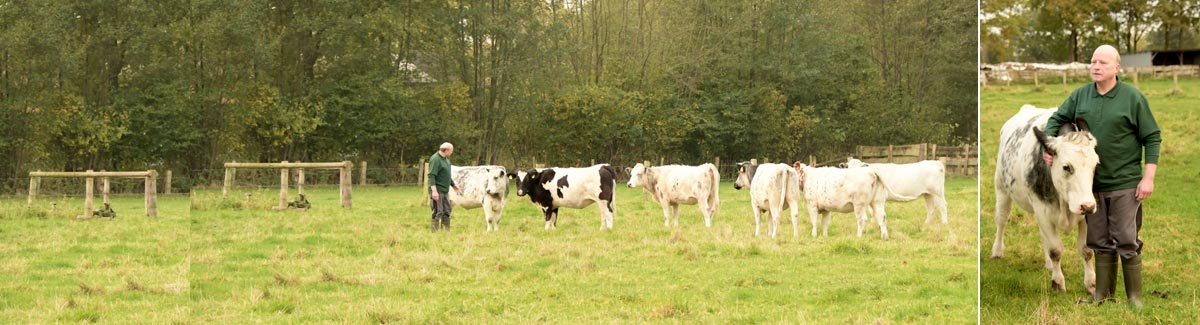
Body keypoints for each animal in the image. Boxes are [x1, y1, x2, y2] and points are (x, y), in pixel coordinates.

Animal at [988, 104, 1099, 295]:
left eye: (1096, 164)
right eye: (1066, 166)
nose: (1088, 205)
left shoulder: (1084, 217)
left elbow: (1086, 249)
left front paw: (1091, 284)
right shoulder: (1042, 211)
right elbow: (1055, 249)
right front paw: (1058, 282)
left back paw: (1049, 265)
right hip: (1001, 188)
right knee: (1001, 221)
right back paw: (997, 251)